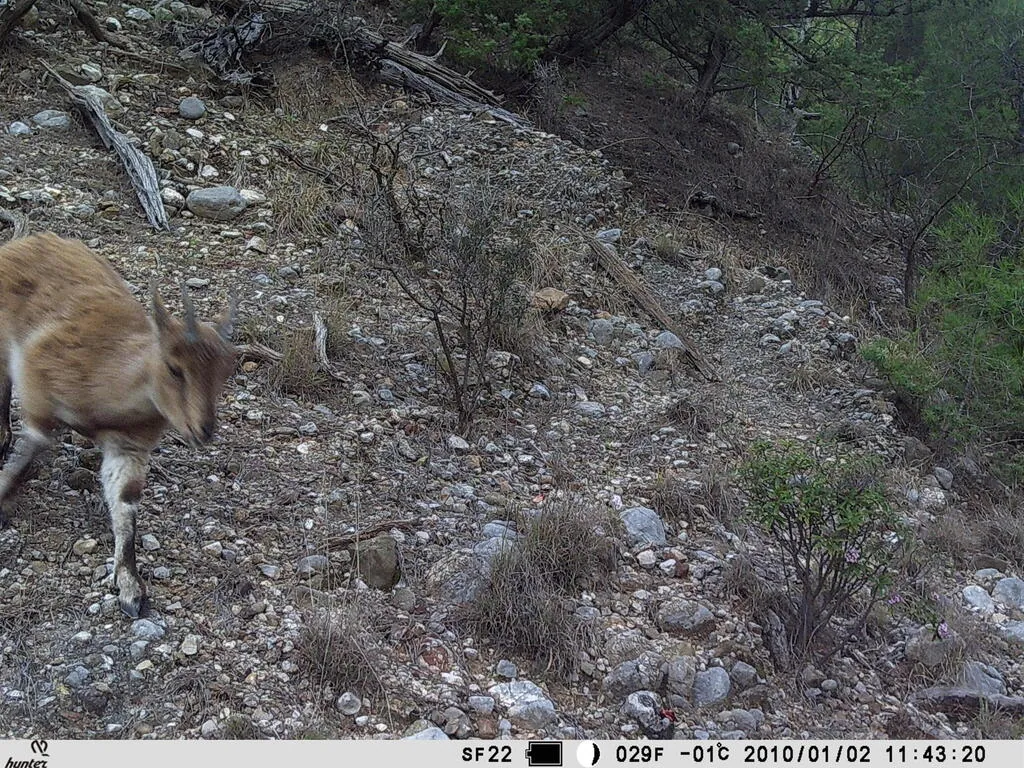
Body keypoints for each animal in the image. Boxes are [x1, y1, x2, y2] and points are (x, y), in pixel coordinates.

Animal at [0, 232, 237, 618]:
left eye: (224, 372)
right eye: (174, 368)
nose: (204, 430)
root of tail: (27, 241)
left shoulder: (129, 446)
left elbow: (125, 503)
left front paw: (130, 588)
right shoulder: (38, 388)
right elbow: (30, 446)